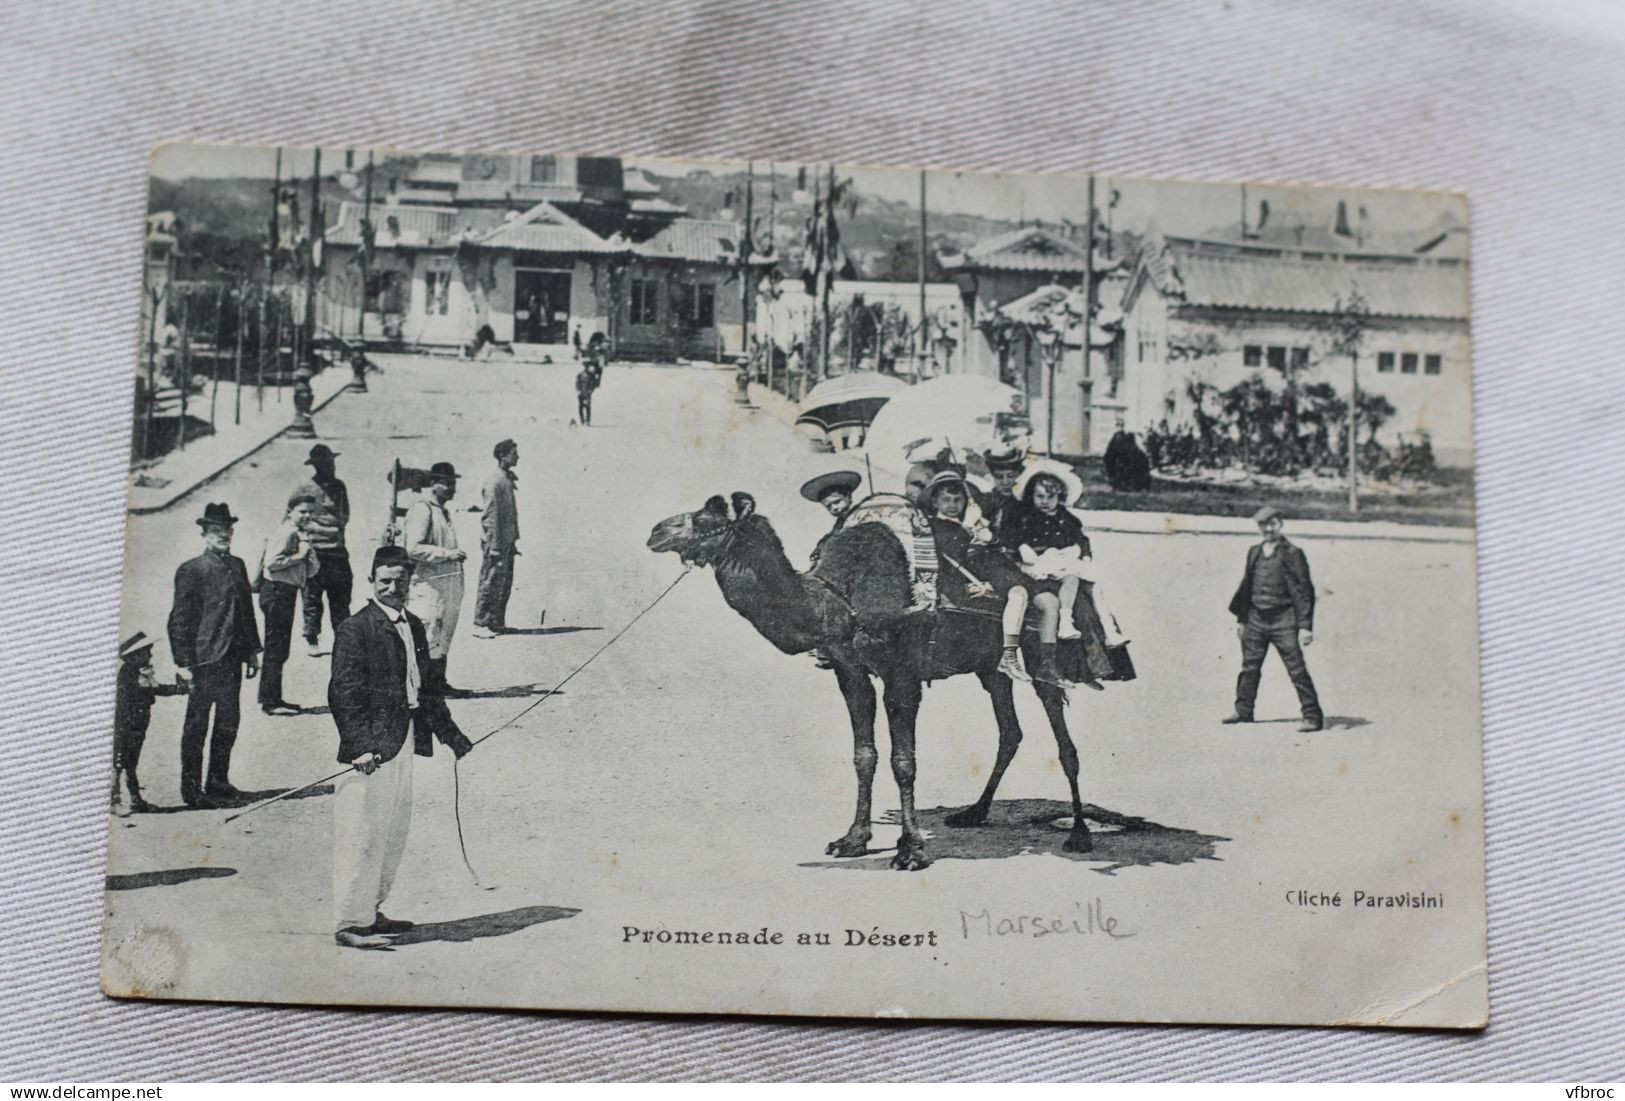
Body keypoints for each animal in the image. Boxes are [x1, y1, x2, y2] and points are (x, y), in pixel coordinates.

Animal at [646, 490, 1092, 870]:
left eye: (708, 517)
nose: (656, 531)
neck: (841, 600)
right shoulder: (850, 670)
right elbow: (864, 755)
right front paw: (852, 839)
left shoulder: (902, 672)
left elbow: (903, 761)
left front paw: (910, 850)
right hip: (989, 665)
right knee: (1010, 729)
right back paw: (974, 812)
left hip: (1039, 651)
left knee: (1063, 737)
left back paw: (1080, 834)